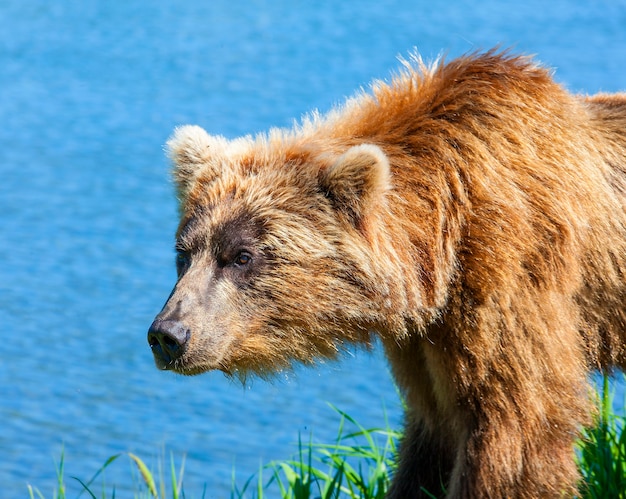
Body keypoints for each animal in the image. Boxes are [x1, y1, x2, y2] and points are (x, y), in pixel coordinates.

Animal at [149, 51, 624, 499]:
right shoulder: (427, 337)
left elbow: (518, 430)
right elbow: (432, 435)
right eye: (183, 253)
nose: (168, 334)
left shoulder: (511, 277)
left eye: (241, 256)